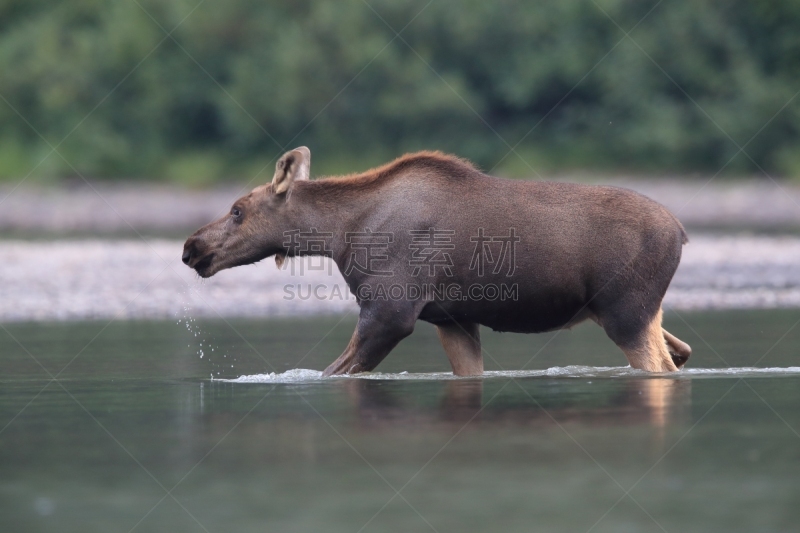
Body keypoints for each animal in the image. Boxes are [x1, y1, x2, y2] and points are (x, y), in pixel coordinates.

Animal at [180, 148, 688, 376]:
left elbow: (333, 373)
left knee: (663, 365)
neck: (341, 235)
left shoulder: (390, 311)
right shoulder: (454, 319)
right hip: (636, 312)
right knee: (680, 351)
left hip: (625, 312)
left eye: (238, 210)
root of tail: (682, 233)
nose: (191, 247)